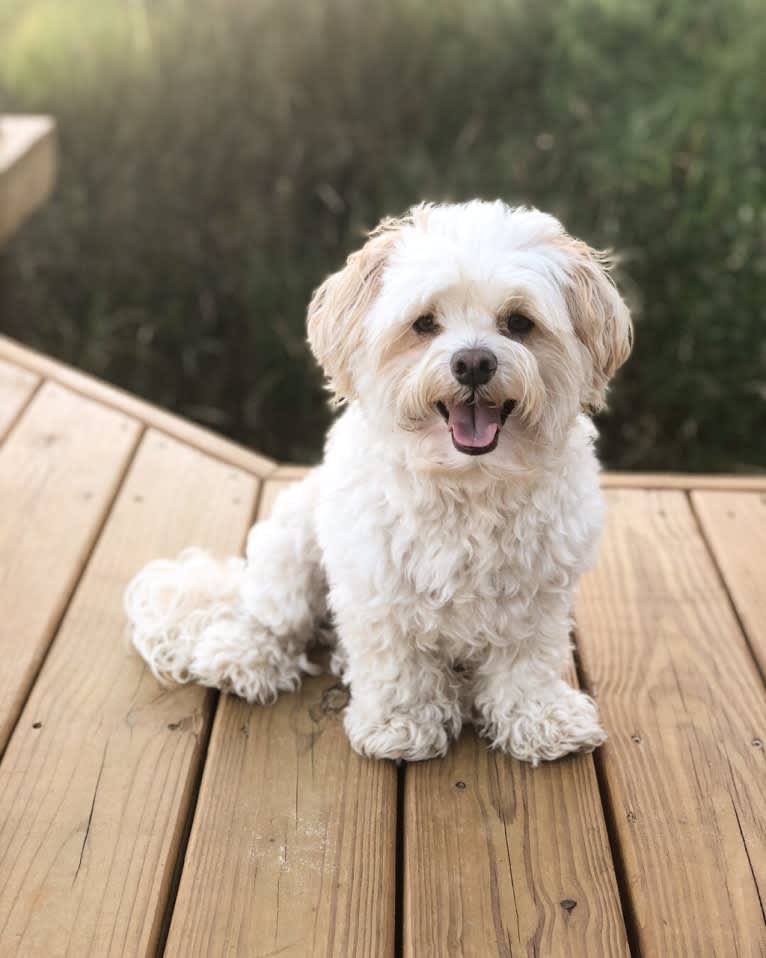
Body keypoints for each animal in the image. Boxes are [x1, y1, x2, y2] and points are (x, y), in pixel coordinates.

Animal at [124, 201, 632, 764]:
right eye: (424, 323)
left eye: (519, 322)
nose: (473, 362)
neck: (468, 482)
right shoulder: (378, 588)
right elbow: (398, 664)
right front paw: (401, 723)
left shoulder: (538, 595)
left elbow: (528, 662)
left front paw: (541, 718)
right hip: (290, 546)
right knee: (271, 617)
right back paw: (245, 655)